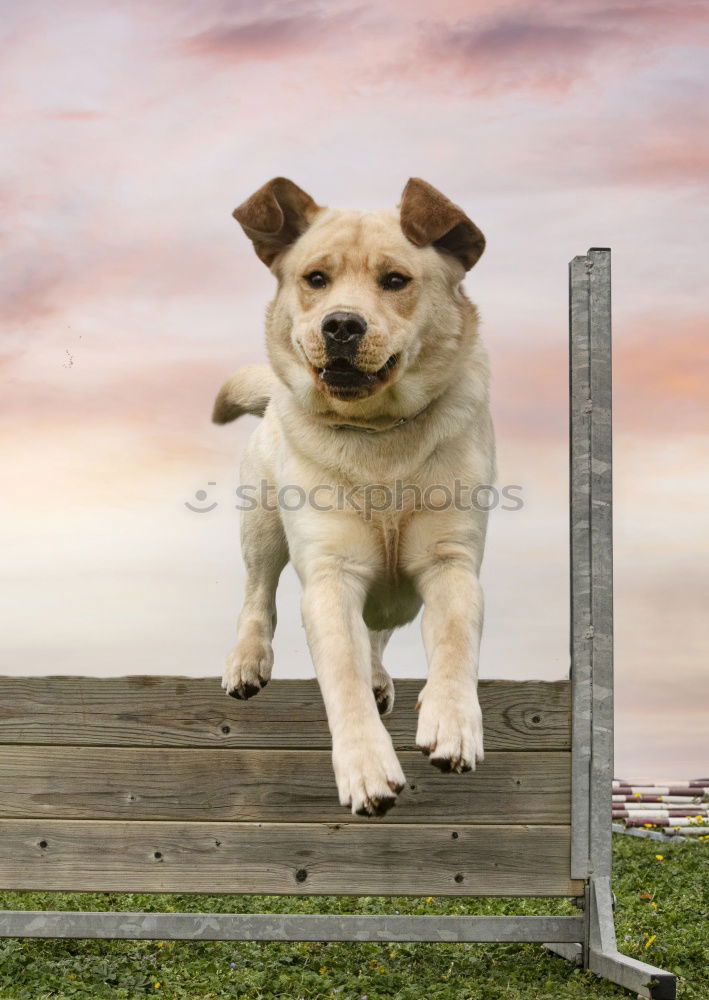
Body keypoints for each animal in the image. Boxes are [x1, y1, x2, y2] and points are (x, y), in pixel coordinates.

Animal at [213, 176, 496, 816]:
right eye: (316, 278)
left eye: (394, 280)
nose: (341, 324)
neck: (379, 436)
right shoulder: (331, 572)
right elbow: (340, 675)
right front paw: (367, 769)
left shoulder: (449, 562)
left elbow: (455, 643)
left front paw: (452, 723)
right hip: (261, 522)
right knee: (256, 595)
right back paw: (248, 659)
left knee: (378, 632)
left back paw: (382, 676)